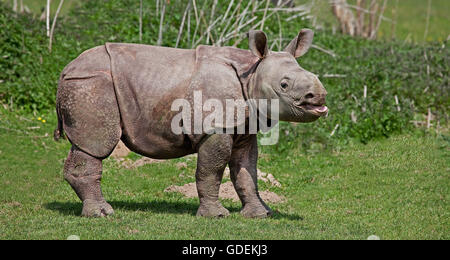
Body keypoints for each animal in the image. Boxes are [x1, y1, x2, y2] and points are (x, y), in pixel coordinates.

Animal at [55, 29, 326, 218]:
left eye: (316, 77)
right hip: (90, 82)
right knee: (96, 145)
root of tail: (65, 69)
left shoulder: (244, 128)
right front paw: (216, 216)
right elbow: (211, 170)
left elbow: (246, 172)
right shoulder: (214, 128)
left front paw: (261, 214)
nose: (320, 97)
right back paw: (103, 214)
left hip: (86, 82)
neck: (252, 71)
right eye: (284, 84)